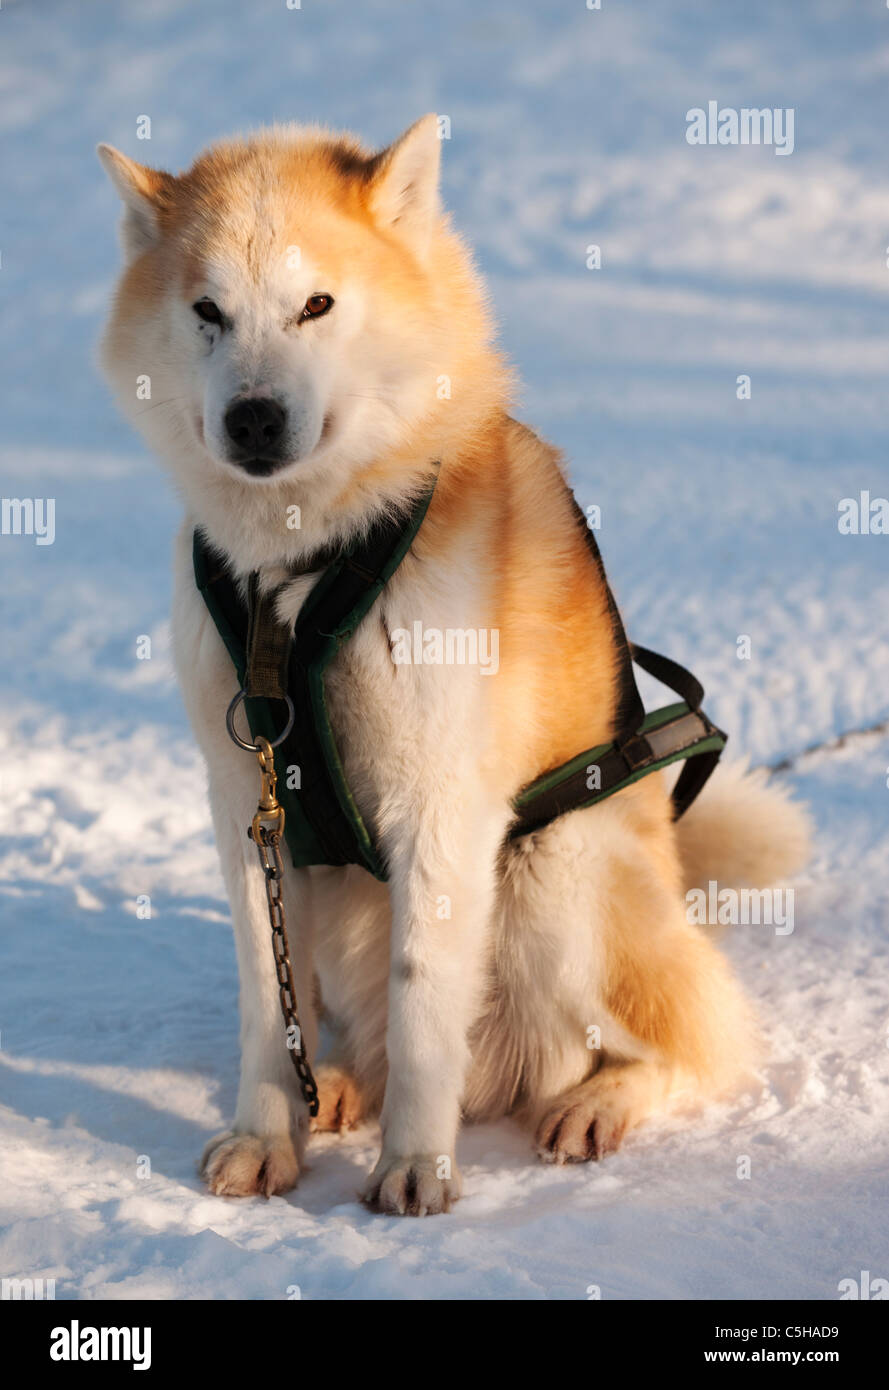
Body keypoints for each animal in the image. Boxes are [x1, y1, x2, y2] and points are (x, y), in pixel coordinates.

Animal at [98, 119, 811, 1212]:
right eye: (207, 312)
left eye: (316, 304)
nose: (253, 417)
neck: (296, 575)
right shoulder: (244, 806)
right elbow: (268, 999)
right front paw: (268, 1135)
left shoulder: (438, 808)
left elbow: (426, 1003)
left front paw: (413, 1168)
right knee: (355, 1030)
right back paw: (338, 1087)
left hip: (553, 871)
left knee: (689, 1047)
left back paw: (596, 1101)